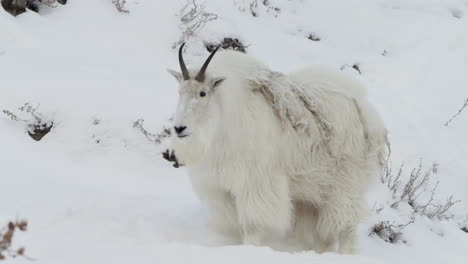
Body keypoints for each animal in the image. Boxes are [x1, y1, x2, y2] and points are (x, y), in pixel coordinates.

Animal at [168, 43, 388, 254]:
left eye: (202, 93)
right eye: (179, 91)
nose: (179, 128)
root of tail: (364, 109)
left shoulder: (255, 183)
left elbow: (251, 224)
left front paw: (251, 248)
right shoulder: (221, 189)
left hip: (345, 185)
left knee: (346, 225)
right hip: (314, 192)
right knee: (324, 233)